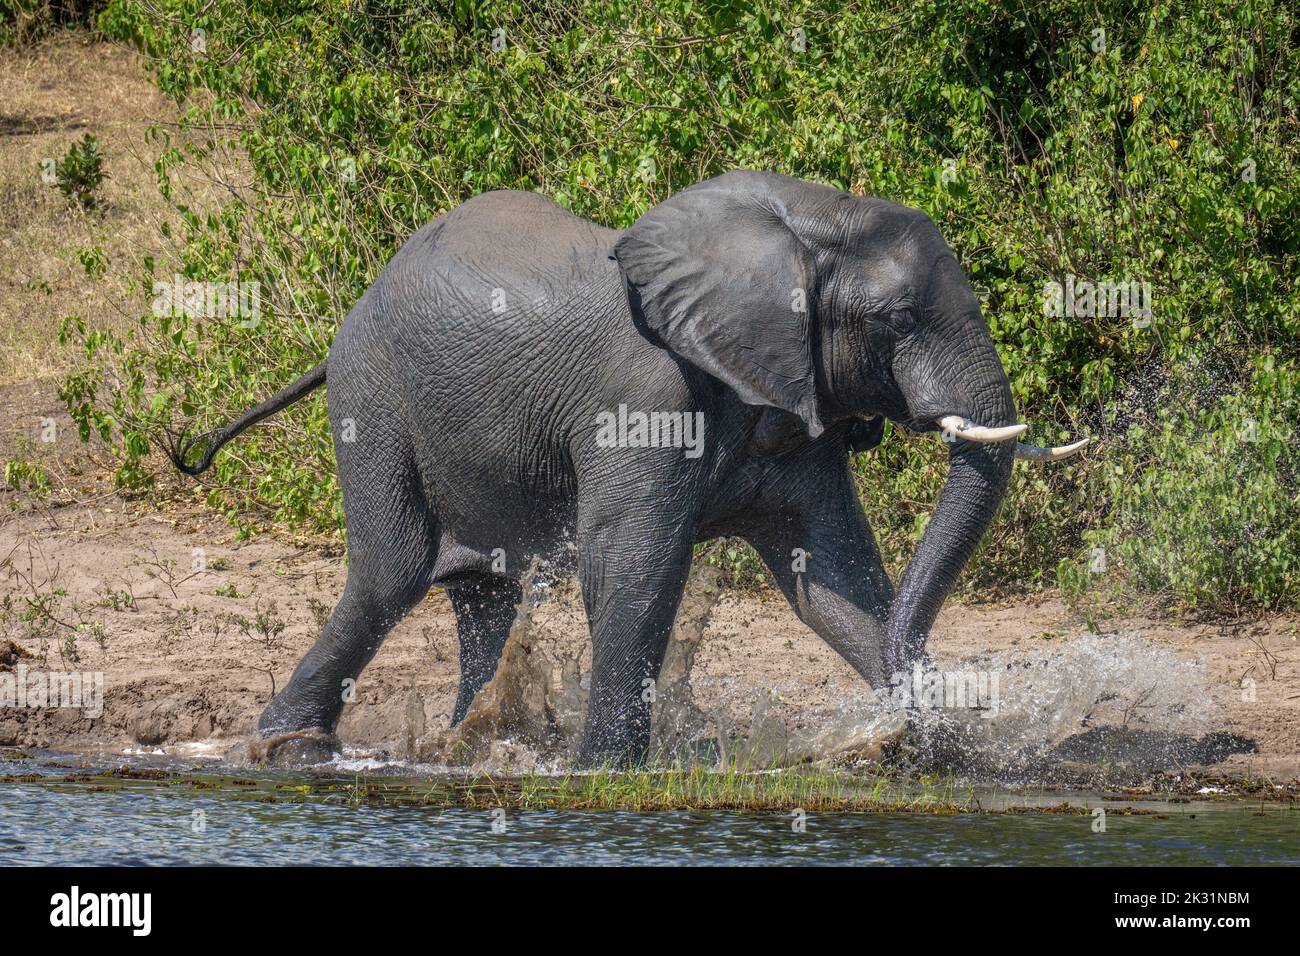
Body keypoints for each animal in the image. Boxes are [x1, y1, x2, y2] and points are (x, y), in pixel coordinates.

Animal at [170, 170, 1086, 767]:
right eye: (897, 319)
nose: (915, 717)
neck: (810, 219)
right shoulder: (645, 397)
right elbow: (635, 564)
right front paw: (604, 771)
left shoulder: (793, 407)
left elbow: (831, 578)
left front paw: (940, 750)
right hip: (373, 395)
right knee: (389, 576)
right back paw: (289, 744)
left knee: (481, 593)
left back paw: (471, 743)